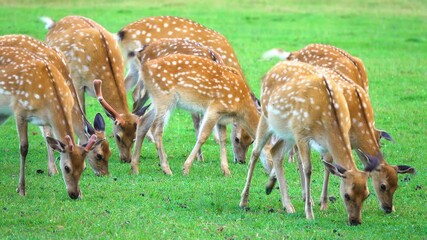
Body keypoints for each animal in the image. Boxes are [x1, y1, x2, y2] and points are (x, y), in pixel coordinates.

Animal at [0, 46, 98, 200]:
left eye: (84, 167)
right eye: (66, 168)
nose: (74, 194)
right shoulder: (19, 111)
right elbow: (24, 148)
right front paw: (21, 189)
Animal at [115, 15, 260, 165]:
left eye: (251, 141)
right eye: (237, 139)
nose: (241, 160)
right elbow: (198, 122)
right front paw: (199, 157)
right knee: (135, 96)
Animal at [118, 53, 272, 175]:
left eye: (251, 141)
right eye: (272, 153)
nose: (272, 174)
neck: (240, 106)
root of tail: (143, 69)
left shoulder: (222, 117)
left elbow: (223, 139)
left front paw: (226, 171)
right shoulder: (215, 108)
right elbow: (202, 136)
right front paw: (186, 168)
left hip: (158, 100)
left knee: (143, 121)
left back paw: (134, 168)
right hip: (165, 98)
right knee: (157, 130)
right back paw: (167, 169)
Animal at [241, 61, 382, 226]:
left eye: (367, 194)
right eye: (347, 195)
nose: (355, 221)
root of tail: (270, 71)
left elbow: (326, 165)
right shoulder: (302, 135)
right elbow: (308, 169)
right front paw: (309, 212)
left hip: (288, 132)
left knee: (275, 151)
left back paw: (287, 205)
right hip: (267, 117)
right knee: (255, 152)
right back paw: (244, 201)